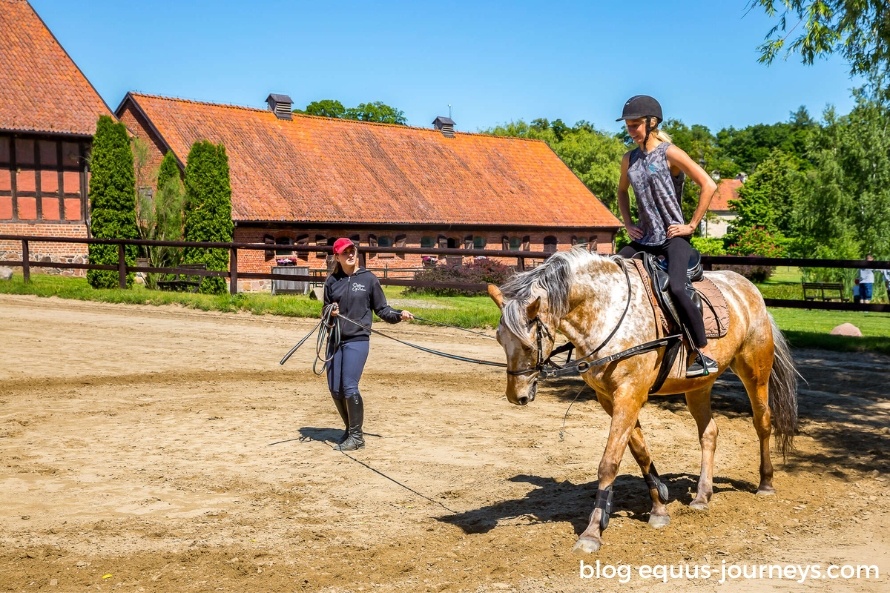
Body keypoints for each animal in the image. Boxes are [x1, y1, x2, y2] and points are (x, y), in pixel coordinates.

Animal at [486, 247, 796, 552]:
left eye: (528, 345)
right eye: (500, 340)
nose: (517, 395)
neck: (606, 311)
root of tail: (748, 289)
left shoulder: (629, 393)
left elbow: (609, 462)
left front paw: (592, 533)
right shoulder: (609, 398)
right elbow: (639, 451)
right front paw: (659, 508)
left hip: (755, 372)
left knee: (762, 423)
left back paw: (765, 483)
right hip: (698, 386)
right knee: (709, 433)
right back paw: (701, 496)